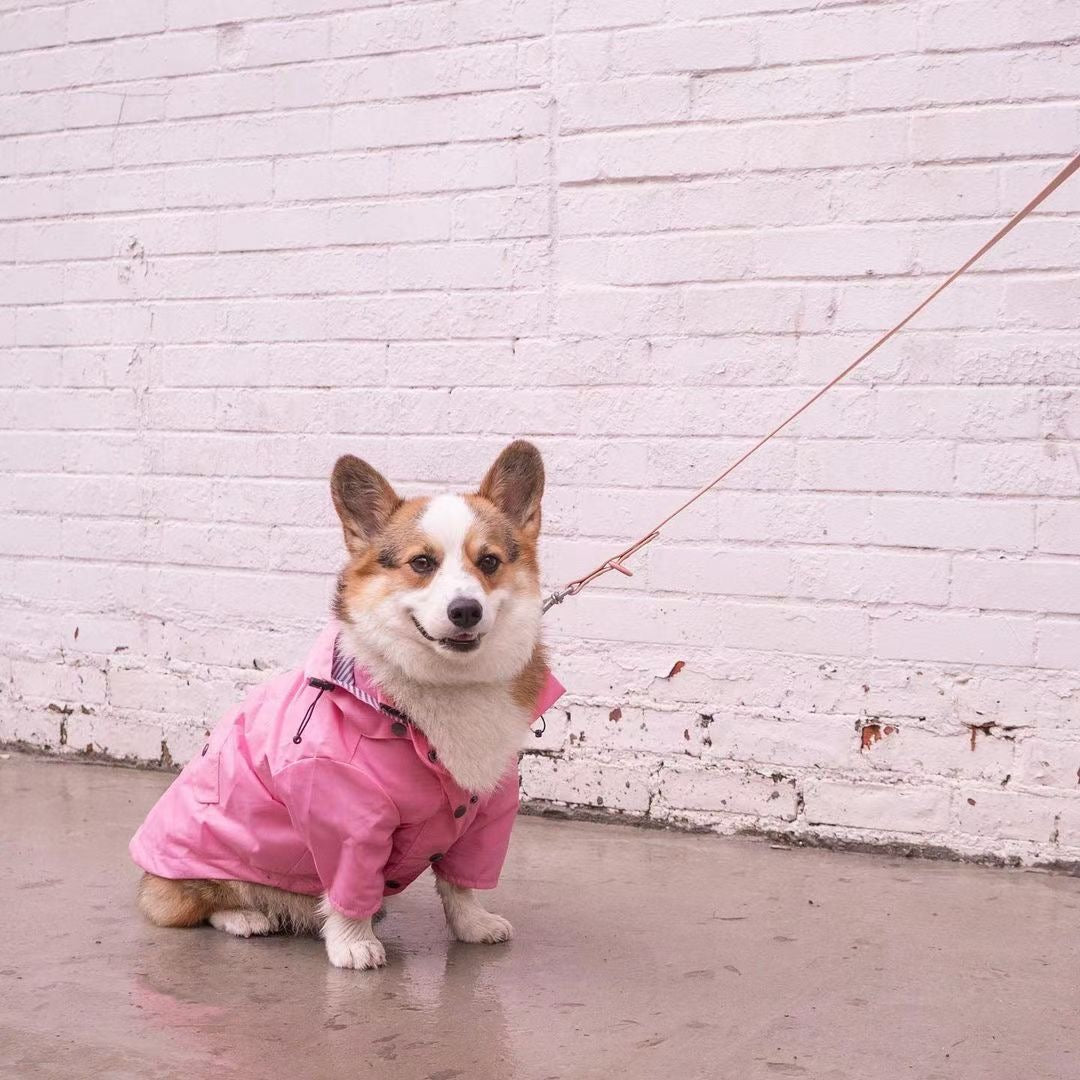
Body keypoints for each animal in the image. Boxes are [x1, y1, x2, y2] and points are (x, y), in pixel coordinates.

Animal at [130, 438, 561, 972]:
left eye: (489, 562)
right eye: (422, 563)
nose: (466, 610)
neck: (446, 682)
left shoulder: (486, 814)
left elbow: (460, 884)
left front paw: (472, 926)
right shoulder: (349, 819)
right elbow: (347, 888)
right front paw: (354, 943)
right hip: (209, 860)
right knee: (193, 904)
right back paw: (247, 918)